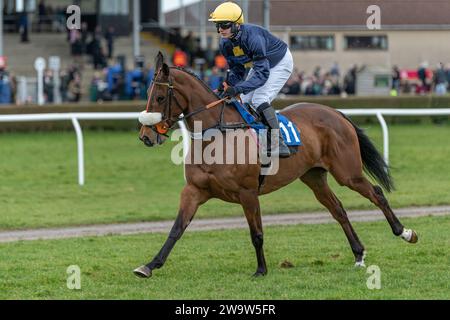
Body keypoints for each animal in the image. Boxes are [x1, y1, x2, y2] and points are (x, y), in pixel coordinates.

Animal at [134, 52, 418, 278]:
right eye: (147, 94)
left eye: (160, 97)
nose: (146, 136)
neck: (217, 135)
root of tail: (335, 112)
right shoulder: (194, 190)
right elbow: (176, 229)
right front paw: (149, 265)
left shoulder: (247, 192)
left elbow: (256, 233)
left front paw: (261, 270)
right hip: (314, 177)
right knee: (338, 209)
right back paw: (358, 254)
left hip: (347, 173)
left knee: (376, 193)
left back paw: (404, 232)